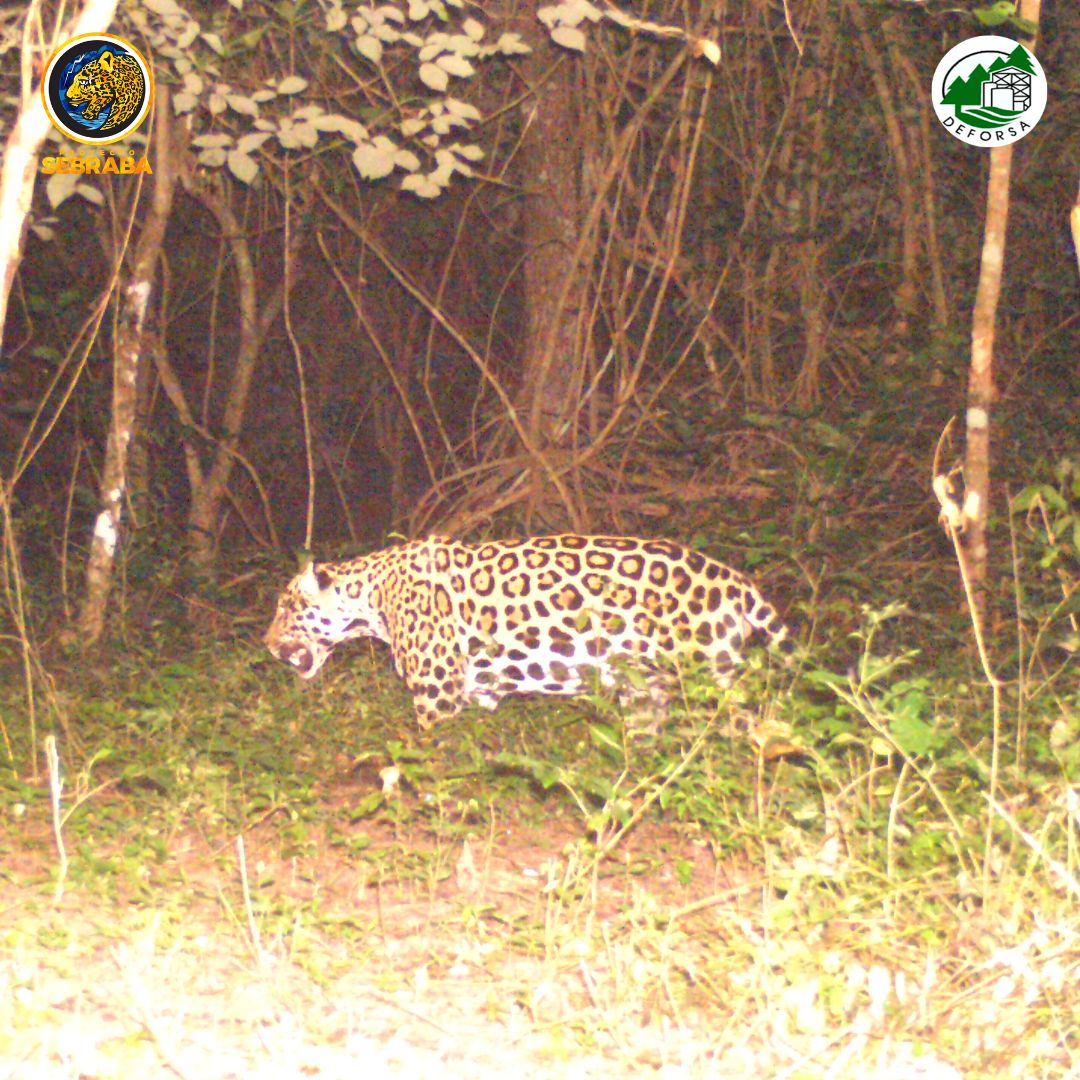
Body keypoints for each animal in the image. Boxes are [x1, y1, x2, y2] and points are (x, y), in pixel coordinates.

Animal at [265, 535, 794, 728]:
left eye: (287, 608)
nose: (266, 644)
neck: (372, 596)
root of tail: (735, 579)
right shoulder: (478, 692)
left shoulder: (437, 694)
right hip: (649, 689)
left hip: (708, 678)